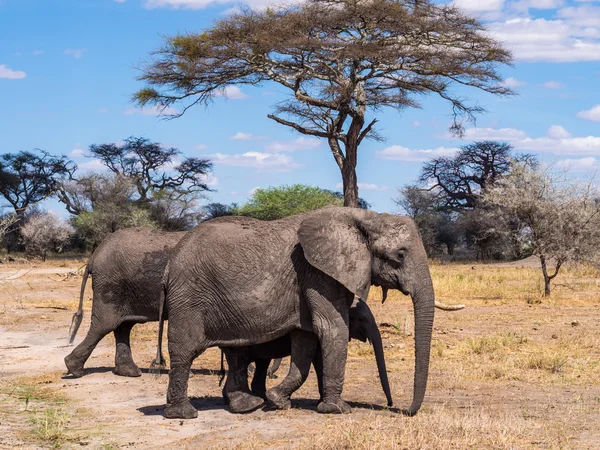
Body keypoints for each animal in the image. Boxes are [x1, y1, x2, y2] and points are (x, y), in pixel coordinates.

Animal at [64, 227, 184, 378]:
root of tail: (94, 256)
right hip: (110, 285)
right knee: (104, 325)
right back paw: (75, 369)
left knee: (123, 326)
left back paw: (129, 372)